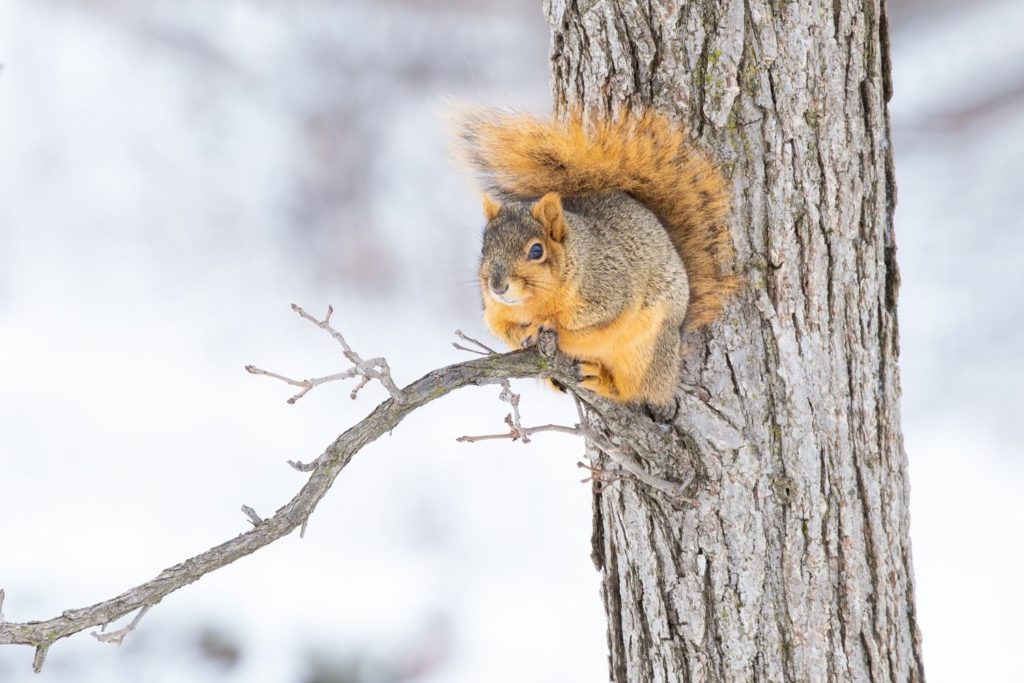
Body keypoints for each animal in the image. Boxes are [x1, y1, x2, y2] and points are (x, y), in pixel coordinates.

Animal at [454, 108, 738, 411]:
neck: (533, 303)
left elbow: (592, 319)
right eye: (484, 247)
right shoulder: (494, 310)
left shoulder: (609, 287)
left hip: (645, 352)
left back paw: (601, 379)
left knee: (632, 390)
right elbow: (500, 329)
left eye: (536, 251)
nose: (497, 287)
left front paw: (549, 324)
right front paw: (522, 334)